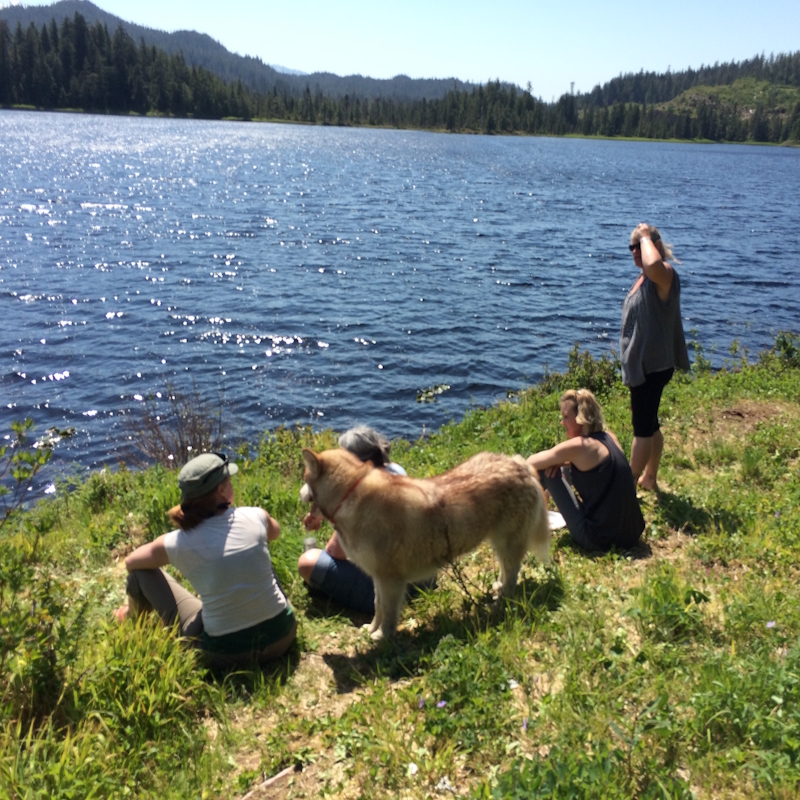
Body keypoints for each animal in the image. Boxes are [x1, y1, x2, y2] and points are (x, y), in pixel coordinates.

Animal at [300, 447, 551, 640]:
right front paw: (371, 629)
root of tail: (520, 464)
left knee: (512, 574)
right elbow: (377, 605)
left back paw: (499, 604)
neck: (350, 495)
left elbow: (387, 610)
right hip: (498, 541)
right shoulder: (378, 578)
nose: (298, 495)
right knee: (506, 570)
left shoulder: (390, 580)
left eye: (304, 478)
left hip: (508, 542)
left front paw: (382, 637)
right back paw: (497, 588)